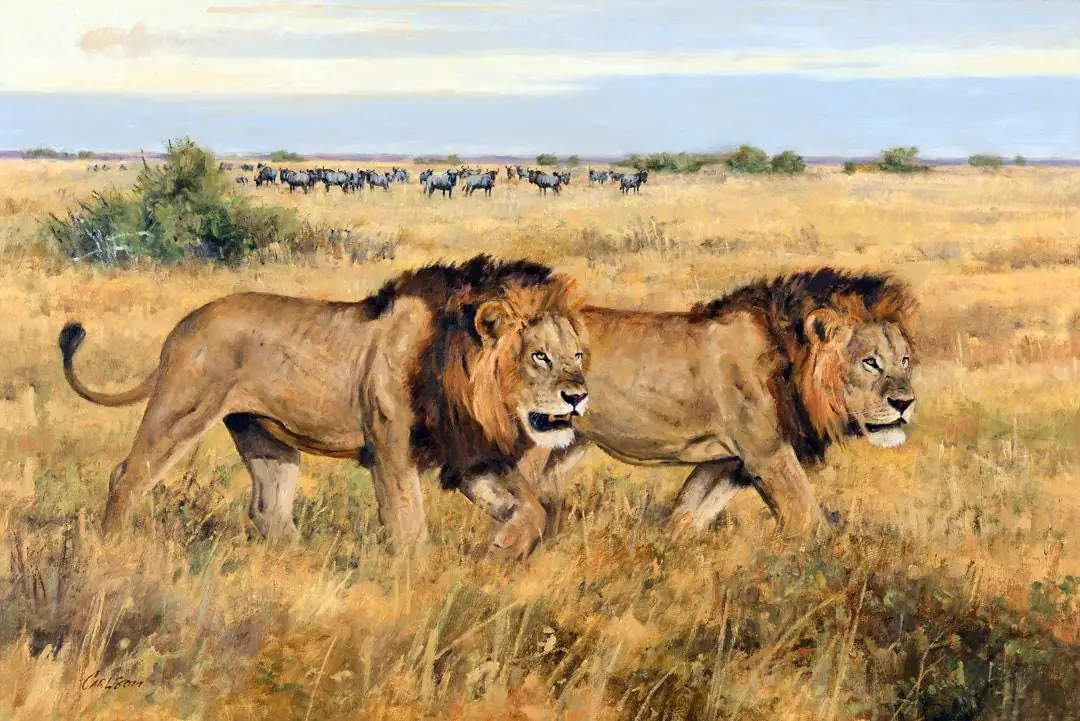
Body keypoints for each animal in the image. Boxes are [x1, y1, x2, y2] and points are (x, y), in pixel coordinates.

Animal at [58, 255, 590, 557]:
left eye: (577, 355)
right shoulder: (390, 451)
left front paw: (500, 550)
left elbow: (531, 508)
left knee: (268, 509)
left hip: (264, 437)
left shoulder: (470, 457)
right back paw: (111, 552)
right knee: (128, 476)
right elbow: (408, 525)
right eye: (540, 356)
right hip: (181, 409)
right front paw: (416, 581)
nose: (579, 395)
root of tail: (184, 325)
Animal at [505, 268, 917, 537]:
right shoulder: (768, 455)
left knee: (546, 487)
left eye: (904, 360)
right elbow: (809, 522)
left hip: (569, 443)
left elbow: (686, 515)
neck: (788, 359)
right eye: (869, 362)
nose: (905, 403)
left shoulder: (727, 462)